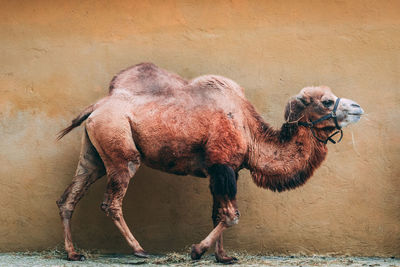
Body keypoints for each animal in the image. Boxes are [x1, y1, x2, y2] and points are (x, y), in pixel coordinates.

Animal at [55, 62, 362, 264]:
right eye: (327, 102)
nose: (358, 107)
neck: (248, 130)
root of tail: (96, 107)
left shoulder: (227, 170)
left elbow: (218, 213)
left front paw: (224, 257)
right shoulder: (221, 164)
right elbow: (231, 215)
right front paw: (197, 251)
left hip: (93, 154)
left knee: (68, 197)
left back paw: (73, 253)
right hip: (122, 152)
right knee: (112, 201)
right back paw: (140, 249)